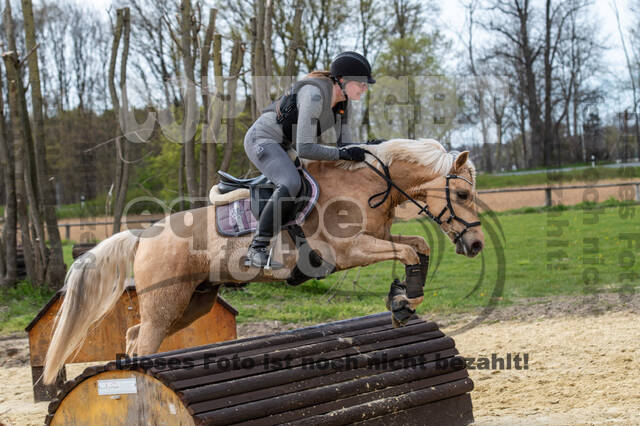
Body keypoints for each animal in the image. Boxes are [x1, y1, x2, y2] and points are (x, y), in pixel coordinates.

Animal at [42, 138, 482, 384]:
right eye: (462, 195)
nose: (477, 244)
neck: (365, 184)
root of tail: (142, 235)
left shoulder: (378, 237)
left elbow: (417, 246)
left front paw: (403, 299)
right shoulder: (349, 250)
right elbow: (409, 250)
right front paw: (403, 302)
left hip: (193, 303)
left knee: (135, 335)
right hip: (168, 301)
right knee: (144, 341)